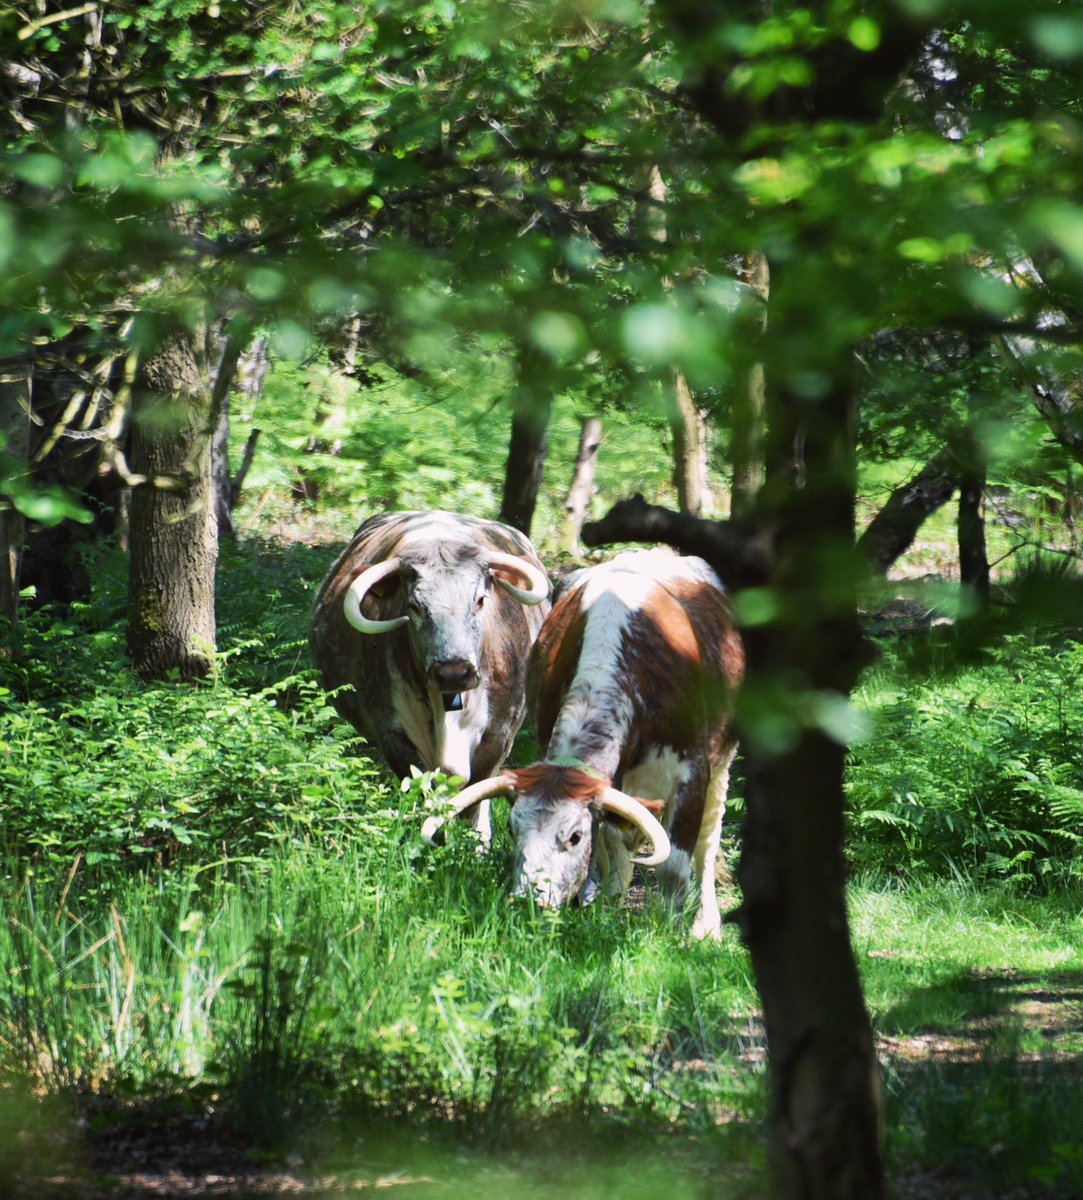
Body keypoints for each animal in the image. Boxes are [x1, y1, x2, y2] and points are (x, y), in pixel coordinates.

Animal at [310, 511, 550, 840]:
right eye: (414, 606)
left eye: (480, 600)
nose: (453, 672)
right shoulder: (394, 736)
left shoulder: (499, 734)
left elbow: (474, 799)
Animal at [422, 547, 744, 938]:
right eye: (513, 828)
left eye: (574, 836)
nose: (530, 901)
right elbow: (613, 854)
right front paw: (605, 915)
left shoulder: (692, 773)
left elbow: (675, 868)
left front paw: (669, 932)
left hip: (722, 763)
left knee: (708, 843)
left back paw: (706, 925)